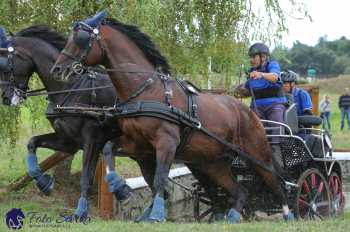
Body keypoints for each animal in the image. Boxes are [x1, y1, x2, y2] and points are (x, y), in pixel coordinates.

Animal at [0, 25, 132, 219]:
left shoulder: (92, 140)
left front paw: (81, 213)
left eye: (5, 63)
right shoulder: (69, 142)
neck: (70, 88)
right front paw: (44, 183)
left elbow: (86, 178)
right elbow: (33, 142)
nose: (6, 98)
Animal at [50, 11, 294, 223]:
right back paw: (232, 217)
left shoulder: (166, 142)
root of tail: (247, 112)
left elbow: (159, 179)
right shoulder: (137, 145)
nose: (57, 70)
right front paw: (120, 188)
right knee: (240, 190)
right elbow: (110, 150)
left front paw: (156, 215)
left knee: (276, 182)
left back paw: (289, 214)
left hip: (256, 153)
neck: (147, 91)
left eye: (80, 39)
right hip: (212, 163)